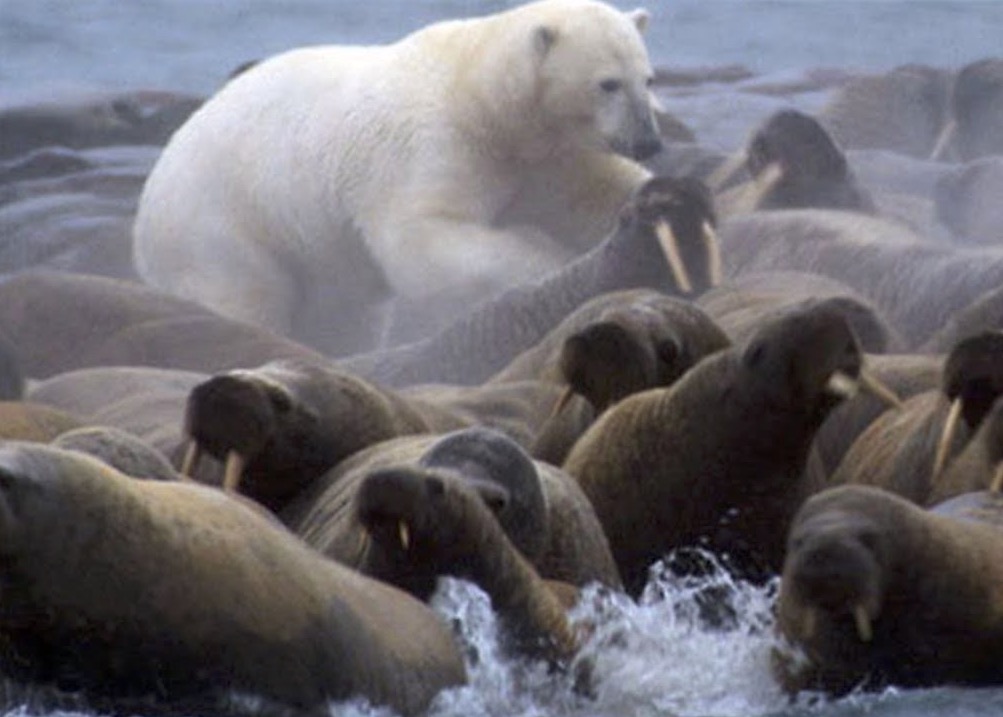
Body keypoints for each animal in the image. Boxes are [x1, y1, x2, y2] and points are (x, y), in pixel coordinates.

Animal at [135, 1, 665, 354]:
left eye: (647, 78)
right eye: (608, 84)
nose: (649, 142)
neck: (479, 94)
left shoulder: (544, 158)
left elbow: (590, 194)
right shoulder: (429, 147)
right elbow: (421, 239)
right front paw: (545, 258)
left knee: (345, 315)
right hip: (220, 228)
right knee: (248, 296)